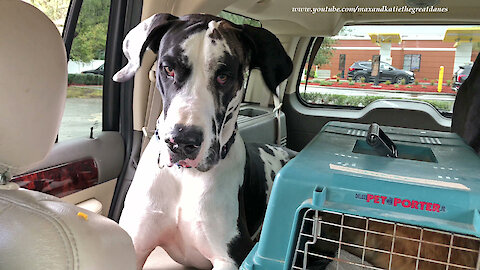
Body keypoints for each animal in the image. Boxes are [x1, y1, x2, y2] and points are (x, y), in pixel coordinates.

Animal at [114, 14, 296, 270]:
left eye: (224, 76)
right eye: (168, 68)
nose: (181, 141)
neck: (183, 177)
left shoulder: (230, 256)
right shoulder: (134, 244)